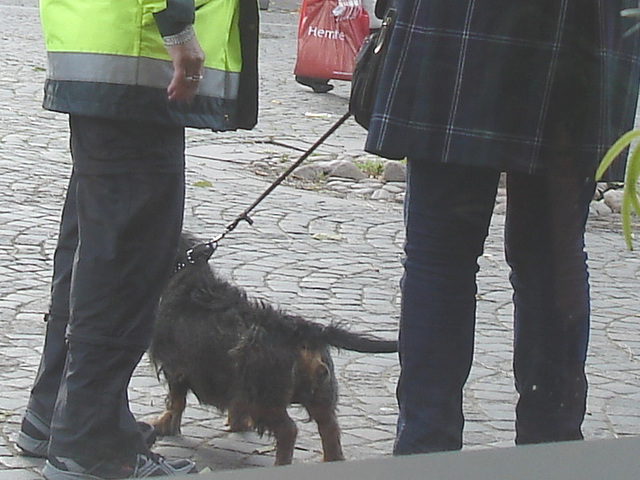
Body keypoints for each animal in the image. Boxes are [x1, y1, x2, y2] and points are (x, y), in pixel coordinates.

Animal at [151, 232, 398, 464]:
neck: (185, 271)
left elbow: (175, 401)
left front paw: (163, 425)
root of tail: (298, 329)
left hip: (265, 400)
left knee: (289, 431)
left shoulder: (176, 369)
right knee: (329, 427)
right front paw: (237, 423)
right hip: (321, 395)